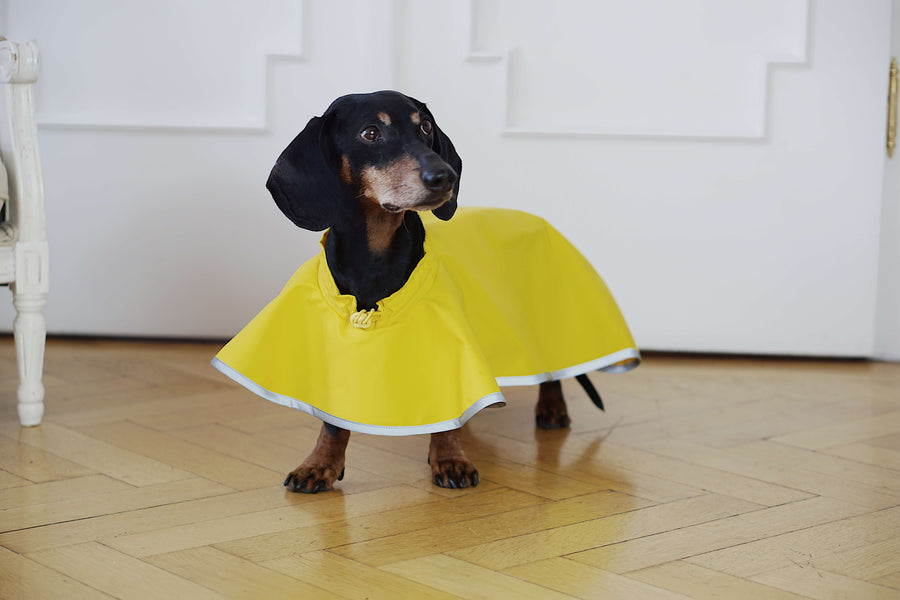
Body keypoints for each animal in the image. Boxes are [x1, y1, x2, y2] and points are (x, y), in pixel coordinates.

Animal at [264, 90, 596, 492]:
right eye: (370, 132)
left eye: (424, 126)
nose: (445, 177)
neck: (375, 257)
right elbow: (333, 422)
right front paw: (319, 464)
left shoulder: (449, 339)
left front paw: (450, 458)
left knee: (551, 368)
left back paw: (551, 406)